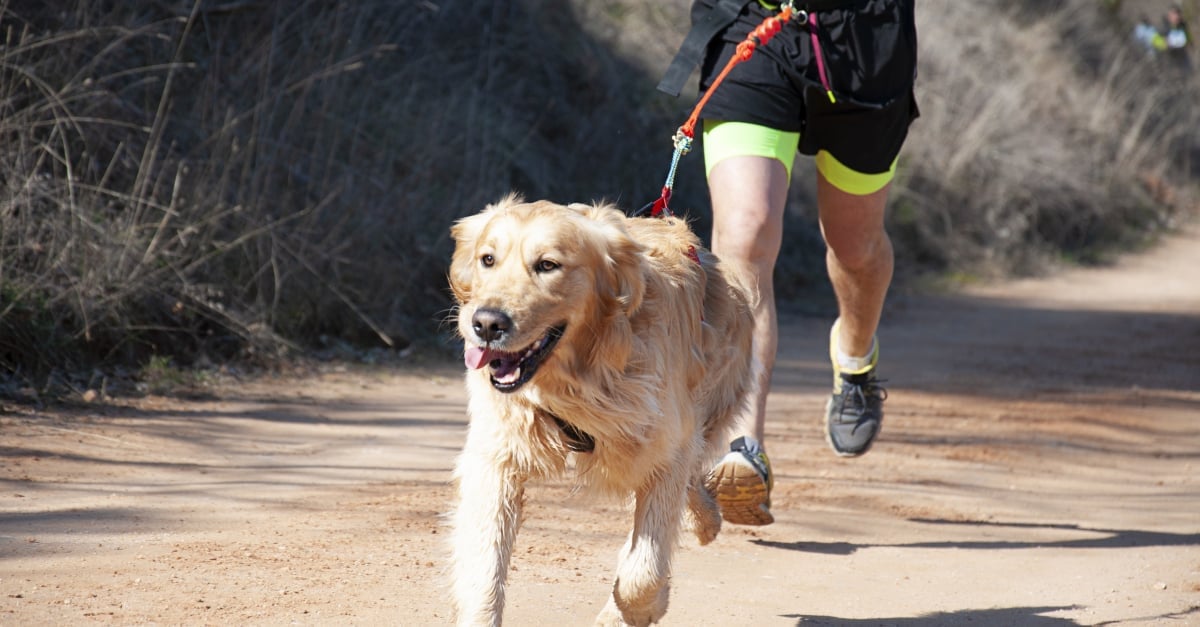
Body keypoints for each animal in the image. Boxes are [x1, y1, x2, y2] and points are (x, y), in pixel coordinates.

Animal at [446, 194, 753, 624]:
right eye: (487, 259)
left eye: (547, 265)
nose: (486, 324)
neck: (580, 376)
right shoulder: (497, 458)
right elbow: (484, 565)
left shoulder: (665, 450)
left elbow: (643, 570)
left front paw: (635, 610)